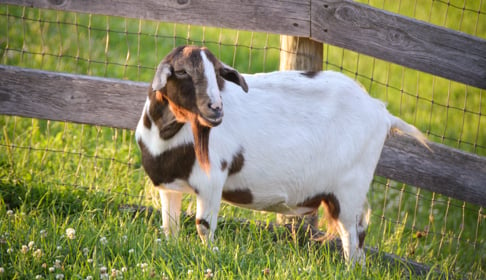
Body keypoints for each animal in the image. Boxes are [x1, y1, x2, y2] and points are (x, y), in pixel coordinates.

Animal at [135, 45, 428, 264]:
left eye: (218, 73)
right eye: (182, 71)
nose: (216, 108)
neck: (167, 135)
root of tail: (382, 113)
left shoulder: (212, 181)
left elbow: (203, 225)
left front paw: (209, 256)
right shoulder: (168, 186)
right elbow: (169, 226)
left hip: (350, 189)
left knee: (353, 238)